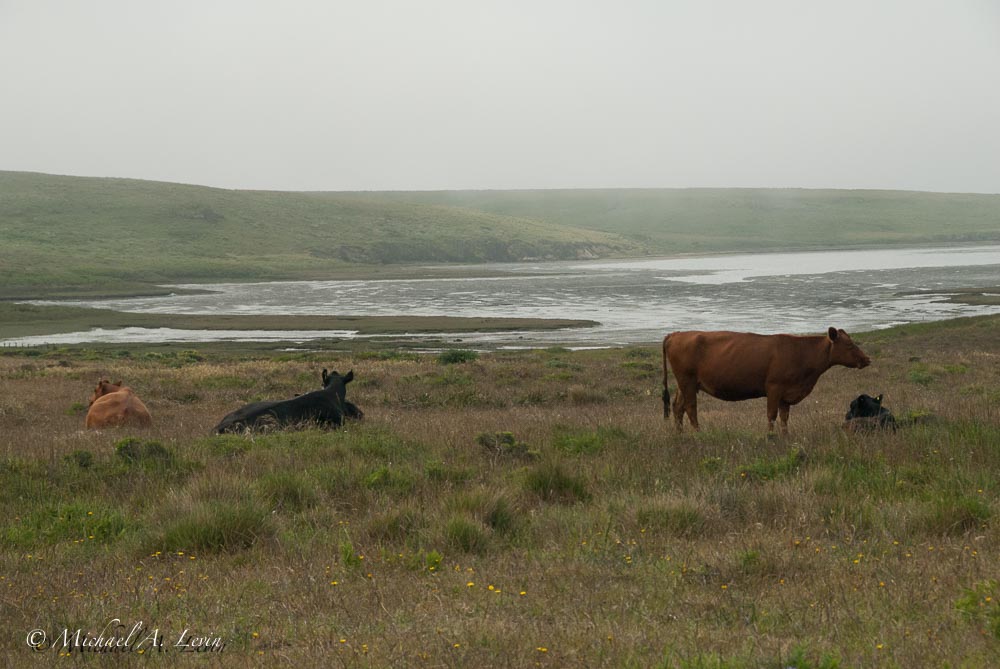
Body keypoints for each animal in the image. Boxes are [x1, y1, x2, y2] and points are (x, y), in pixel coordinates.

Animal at [664, 328, 868, 434]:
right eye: (849, 345)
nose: (867, 359)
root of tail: (677, 334)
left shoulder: (787, 394)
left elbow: (784, 417)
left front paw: (785, 436)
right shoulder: (774, 388)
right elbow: (771, 415)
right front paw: (770, 437)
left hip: (685, 384)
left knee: (678, 407)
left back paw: (681, 435)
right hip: (688, 381)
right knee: (690, 408)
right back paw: (698, 434)